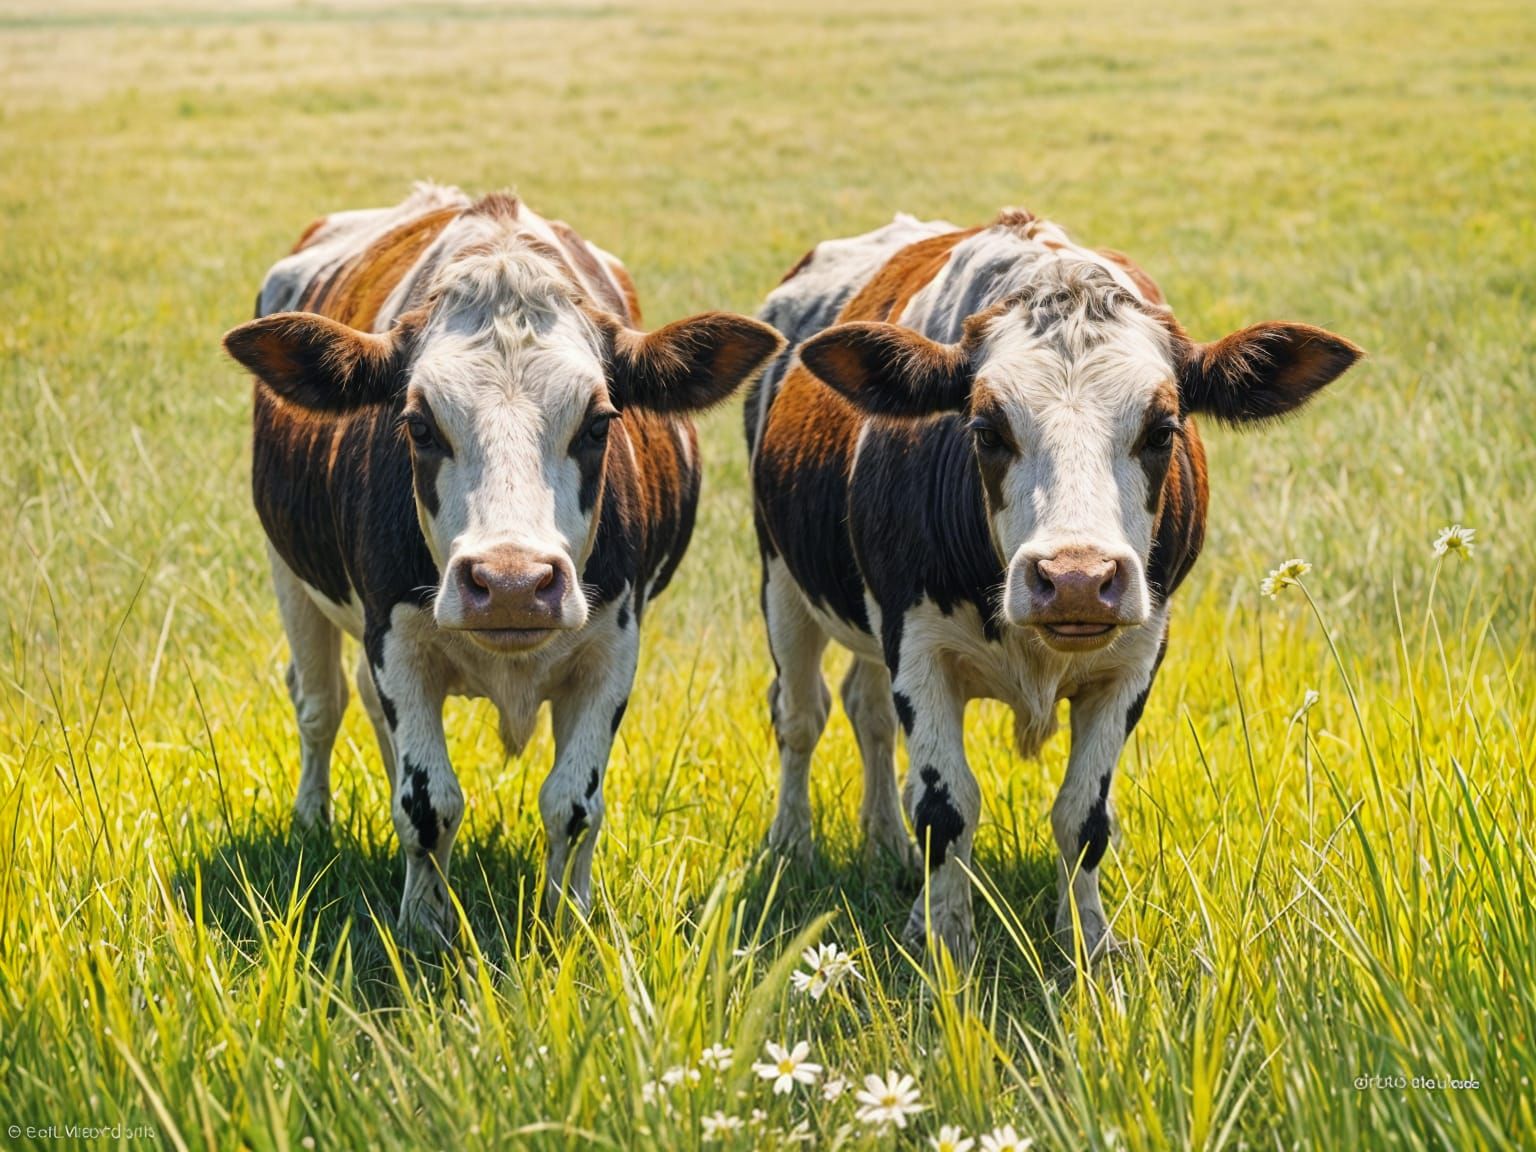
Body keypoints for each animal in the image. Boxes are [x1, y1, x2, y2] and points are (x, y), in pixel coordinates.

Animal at [223, 183, 783, 945]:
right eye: (419, 423)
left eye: (599, 422)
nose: (513, 584)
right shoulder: (394, 638)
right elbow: (429, 802)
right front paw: (424, 926)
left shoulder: (613, 649)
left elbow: (573, 804)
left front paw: (567, 922)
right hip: (291, 572)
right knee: (319, 704)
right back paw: (313, 819)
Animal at [747, 207, 1361, 963]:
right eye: (986, 429)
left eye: (1162, 429)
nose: (1075, 580)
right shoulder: (915, 645)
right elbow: (946, 806)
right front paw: (944, 939)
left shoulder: (1138, 658)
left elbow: (1083, 815)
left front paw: (1089, 940)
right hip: (782, 581)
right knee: (801, 716)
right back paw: (792, 844)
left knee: (869, 714)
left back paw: (885, 843)